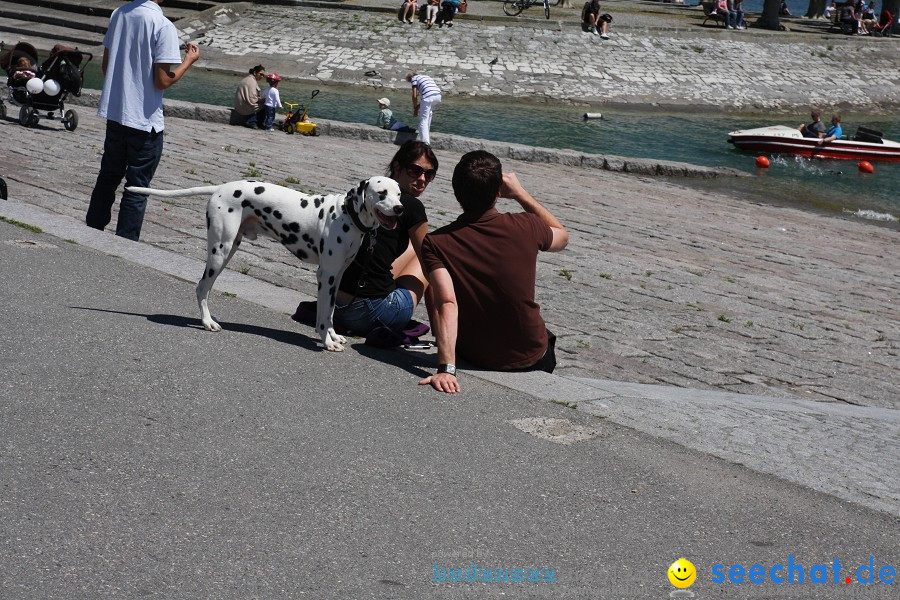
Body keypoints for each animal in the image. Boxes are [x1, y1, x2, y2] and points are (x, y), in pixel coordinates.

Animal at [127, 176, 404, 352]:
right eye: (382, 194)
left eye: (399, 194)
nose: (400, 208)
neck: (346, 214)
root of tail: (222, 187)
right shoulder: (326, 276)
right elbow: (324, 316)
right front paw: (327, 342)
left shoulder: (336, 279)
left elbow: (330, 312)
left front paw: (333, 336)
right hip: (220, 251)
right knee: (201, 287)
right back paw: (207, 322)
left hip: (229, 248)